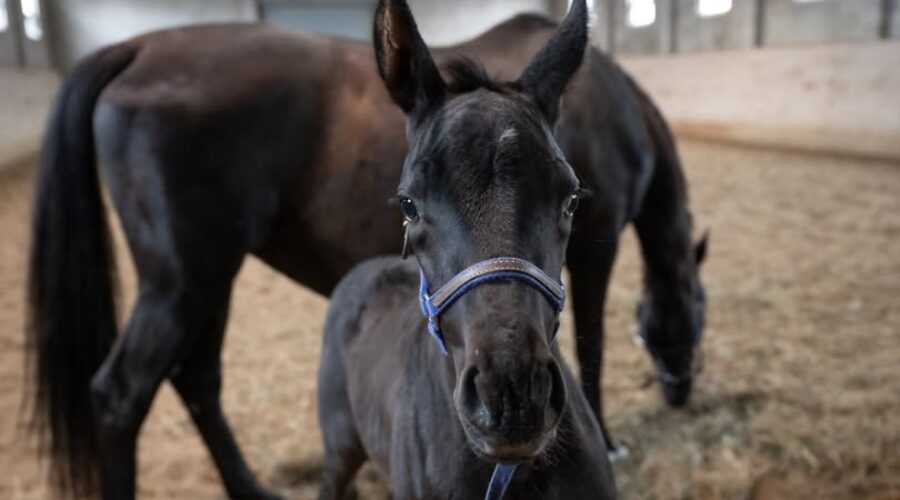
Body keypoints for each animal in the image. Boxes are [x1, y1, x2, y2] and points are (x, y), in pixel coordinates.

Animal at [26, 0, 705, 497]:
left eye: (568, 197)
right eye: (407, 203)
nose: (512, 399)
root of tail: (134, 49)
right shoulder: (601, 247)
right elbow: (594, 347)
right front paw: (612, 434)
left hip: (208, 278)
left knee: (197, 379)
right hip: (181, 281)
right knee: (121, 394)